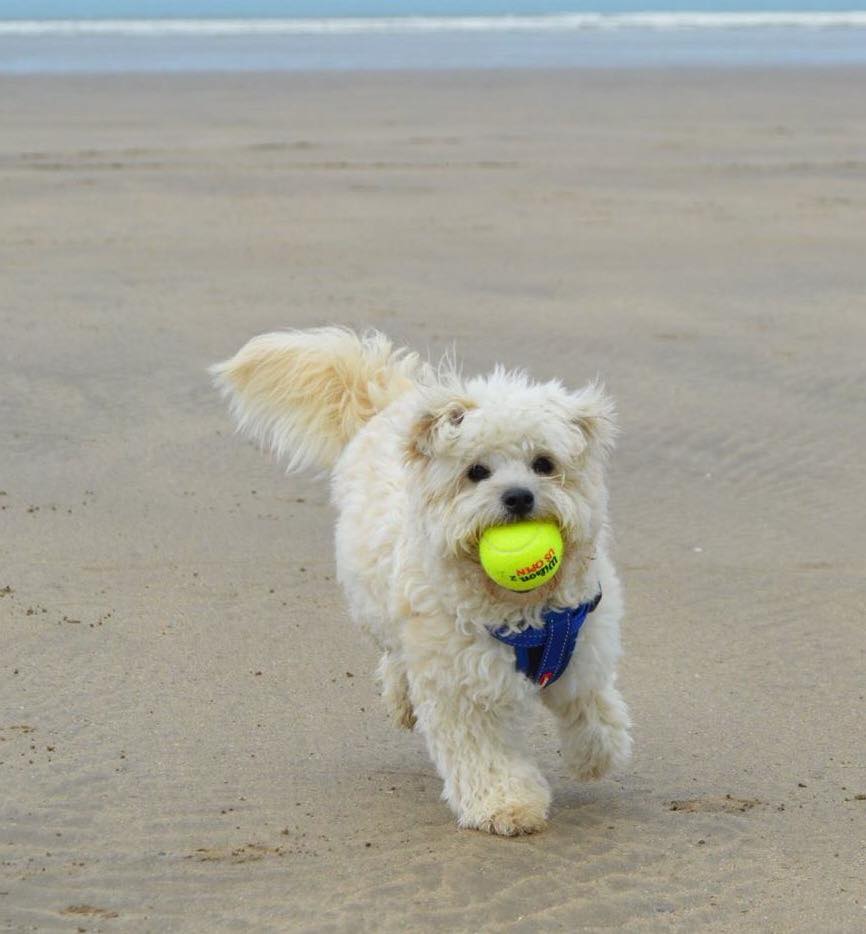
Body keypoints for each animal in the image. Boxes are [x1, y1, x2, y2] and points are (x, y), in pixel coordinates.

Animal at [209, 330, 628, 840]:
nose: (518, 496)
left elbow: (592, 707)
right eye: (477, 472)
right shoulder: (461, 685)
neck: (519, 609)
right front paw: (506, 805)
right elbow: (485, 756)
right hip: (376, 605)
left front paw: (596, 755)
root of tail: (390, 401)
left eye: (544, 464)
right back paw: (401, 697)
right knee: (395, 655)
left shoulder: (582, 644)